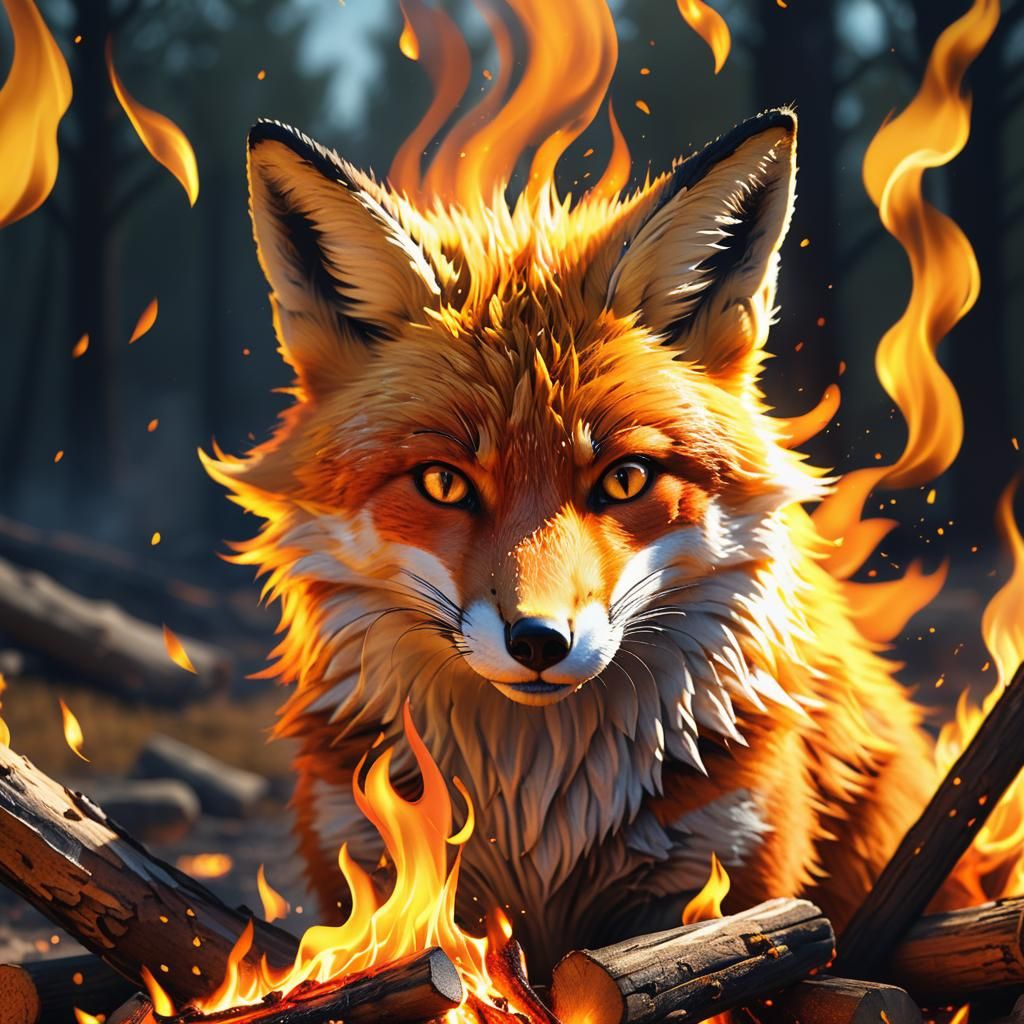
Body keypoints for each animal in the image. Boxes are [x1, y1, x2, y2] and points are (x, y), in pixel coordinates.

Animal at [205, 108, 984, 974]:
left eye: (624, 479)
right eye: (443, 483)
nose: (539, 641)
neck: (538, 809)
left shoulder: (725, 873)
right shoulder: (374, 874)